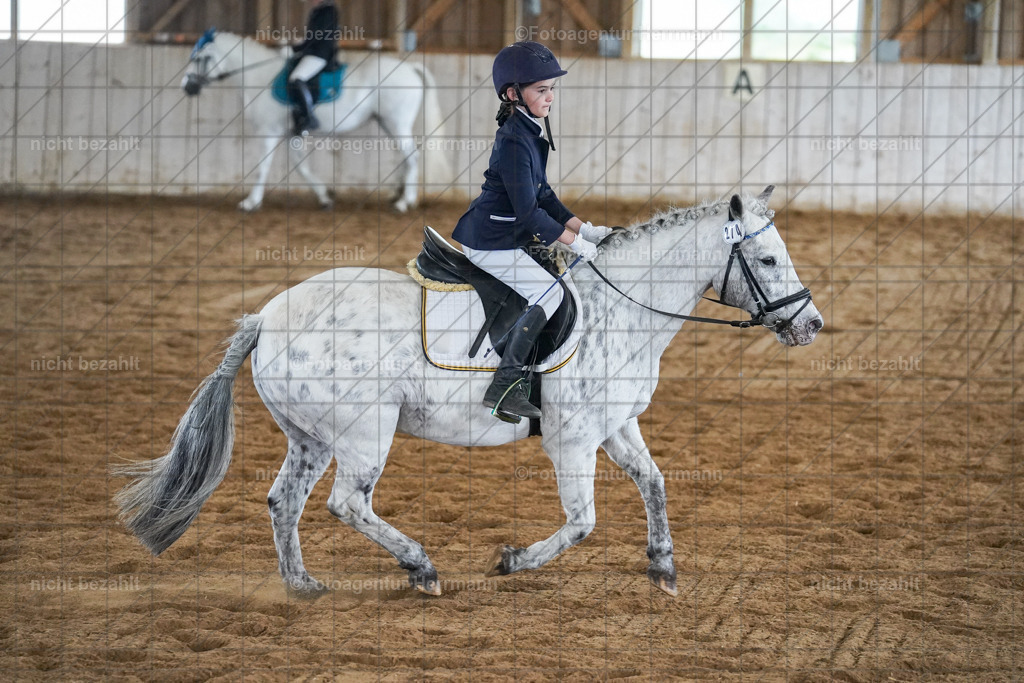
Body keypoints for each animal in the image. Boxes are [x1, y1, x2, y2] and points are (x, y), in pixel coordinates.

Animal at [114, 186, 823, 597]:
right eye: (765, 261)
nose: (811, 325)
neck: (621, 308)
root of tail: (265, 317)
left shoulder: (616, 425)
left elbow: (654, 482)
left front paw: (663, 567)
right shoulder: (571, 440)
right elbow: (583, 522)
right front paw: (512, 562)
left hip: (311, 436)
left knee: (283, 499)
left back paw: (303, 584)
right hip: (365, 430)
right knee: (347, 503)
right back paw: (421, 568)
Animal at [181, 29, 447, 213]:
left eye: (199, 58)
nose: (186, 87)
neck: (259, 77)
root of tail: (410, 68)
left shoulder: (269, 131)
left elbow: (262, 167)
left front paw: (250, 202)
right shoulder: (291, 133)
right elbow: (301, 167)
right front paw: (324, 197)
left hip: (396, 123)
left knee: (412, 156)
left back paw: (405, 202)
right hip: (387, 122)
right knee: (405, 157)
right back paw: (397, 195)